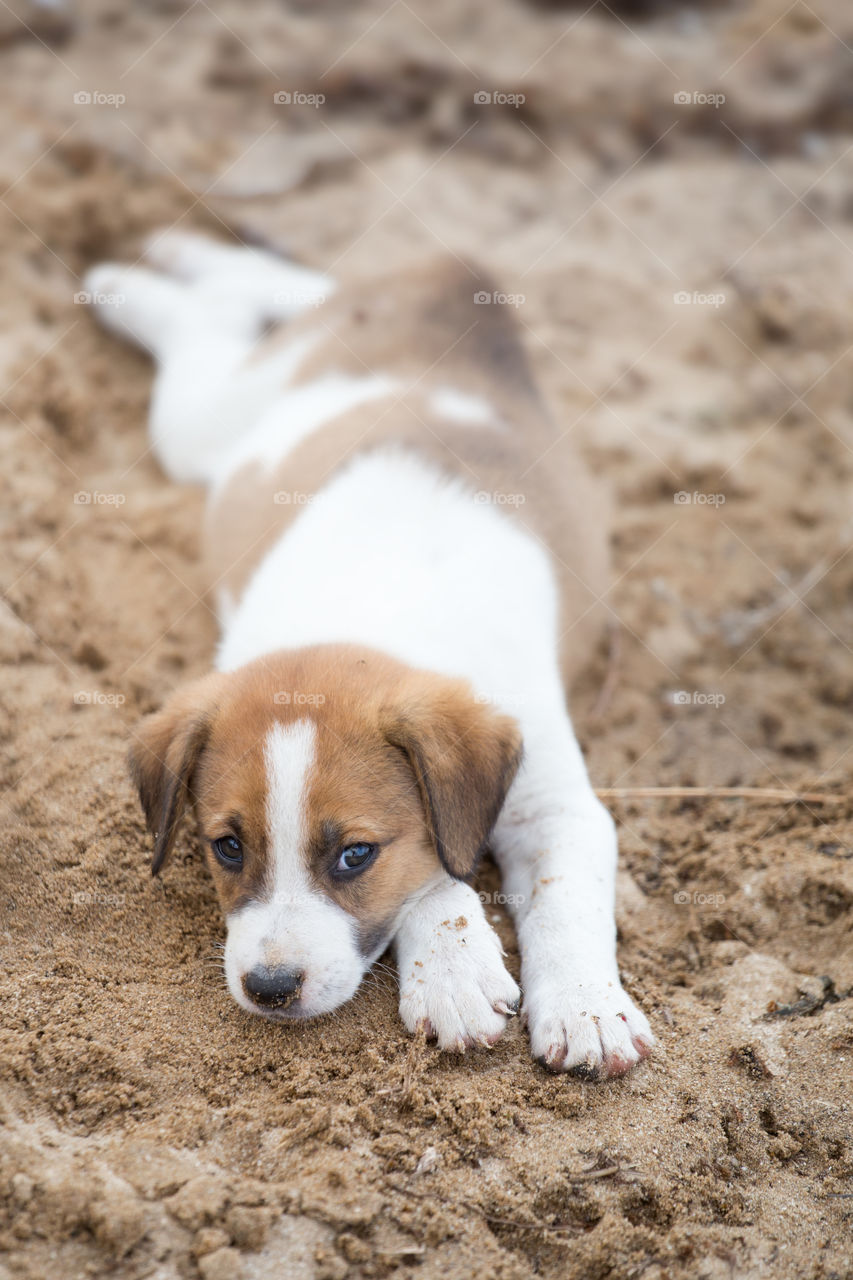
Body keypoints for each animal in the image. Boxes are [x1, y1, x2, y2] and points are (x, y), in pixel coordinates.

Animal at [86, 235, 650, 1075]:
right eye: (226, 847)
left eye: (354, 856)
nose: (270, 988)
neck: (372, 612)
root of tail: (456, 285)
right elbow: (436, 875)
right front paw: (454, 969)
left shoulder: (555, 803)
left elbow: (561, 901)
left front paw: (585, 1006)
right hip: (211, 420)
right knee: (229, 310)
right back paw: (146, 274)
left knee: (248, 304)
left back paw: (157, 271)